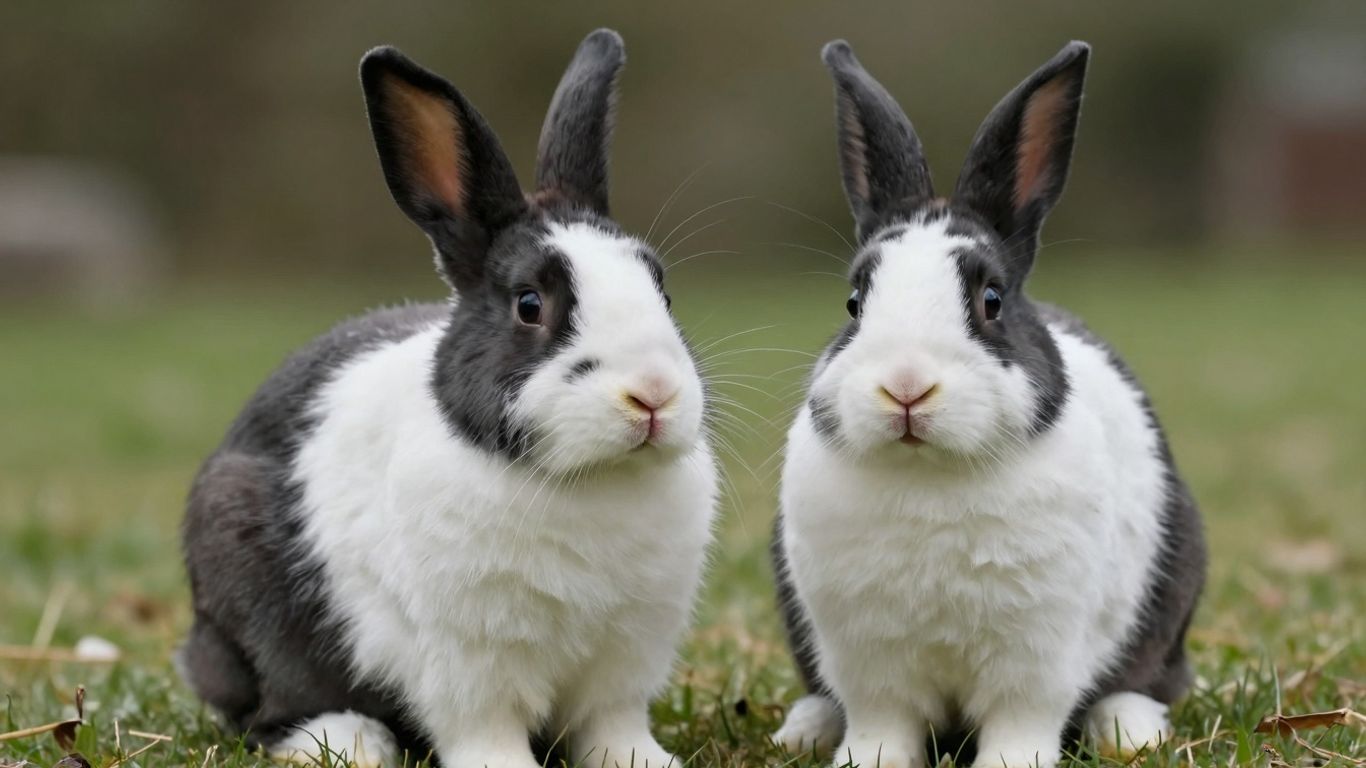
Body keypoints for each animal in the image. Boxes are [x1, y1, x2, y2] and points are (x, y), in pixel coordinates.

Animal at [178, 29, 716, 768]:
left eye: (660, 287)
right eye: (529, 304)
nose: (653, 394)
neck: (588, 482)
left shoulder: (625, 657)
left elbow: (610, 725)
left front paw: (645, 761)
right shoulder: (469, 661)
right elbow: (485, 729)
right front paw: (505, 767)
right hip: (251, 600)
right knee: (268, 710)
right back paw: (349, 740)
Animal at [770, 40, 1206, 768]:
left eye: (991, 300)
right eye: (854, 303)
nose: (906, 386)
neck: (929, 477)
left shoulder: (1036, 657)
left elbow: (1020, 720)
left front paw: (1013, 763)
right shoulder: (867, 661)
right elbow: (882, 722)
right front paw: (867, 760)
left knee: (1149, 681)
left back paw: (1129, 732)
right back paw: (803, 728)